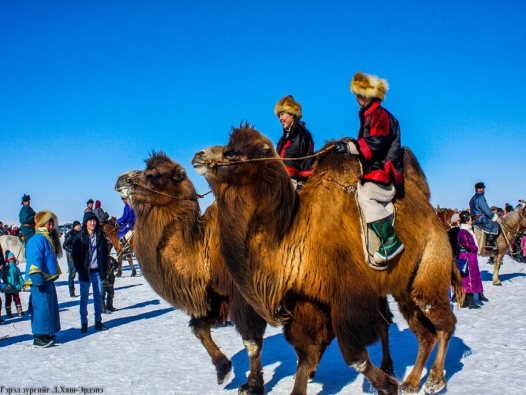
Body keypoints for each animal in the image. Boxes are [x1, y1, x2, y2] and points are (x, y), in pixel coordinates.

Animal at [115, 153, 376, 395]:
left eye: (154, 175)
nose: (121, 180)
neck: (204, 247)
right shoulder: (220, 295)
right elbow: (199, 328)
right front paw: (223, 369)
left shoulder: (244, 296)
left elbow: (251, 342)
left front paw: (252, 385)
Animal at [193, 124, 466, 395]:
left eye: (230, 152)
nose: (198, 155)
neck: (294, 235)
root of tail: (436, 220)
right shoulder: (309, 299)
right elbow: (306, 350)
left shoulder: (349, 298)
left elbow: (354, 356)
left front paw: (387, 386)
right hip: (404, 288)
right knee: (425, 332)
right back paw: (412, 382)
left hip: (430, 269)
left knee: (444, 323)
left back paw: (434, 380)